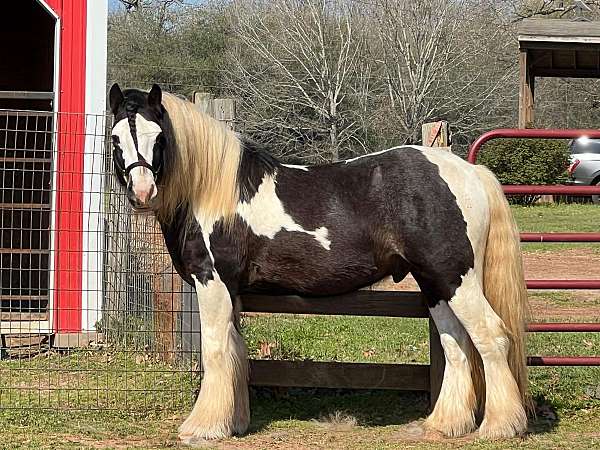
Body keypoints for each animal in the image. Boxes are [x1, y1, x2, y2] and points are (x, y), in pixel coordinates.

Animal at [110, 82, 532, 442]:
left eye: (158, 137)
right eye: (115, 138)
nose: (142, 193)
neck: (213, 191)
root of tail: (470, 171)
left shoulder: (212, 281)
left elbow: (215, 351)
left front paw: (204, 427)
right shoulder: (232, 292)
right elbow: (236, 351)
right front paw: (236, 422)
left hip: (456, 280)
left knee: (491, 337)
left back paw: (500, 426)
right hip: (435, 285)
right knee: (456, 344)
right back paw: (447, 424)